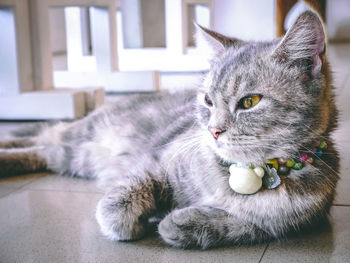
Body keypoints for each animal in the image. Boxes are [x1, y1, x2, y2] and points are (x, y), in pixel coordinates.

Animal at [0, 10, 340, 250]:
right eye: (207, 100)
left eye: (250, 102)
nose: (213, 131)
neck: (243, 171)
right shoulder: (158, 160)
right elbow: (124, 193)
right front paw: (123, 220)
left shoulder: (294, 223)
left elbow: (242, 224)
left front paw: (181, 223)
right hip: (81, 137)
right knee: (43, 136)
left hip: (72, 156)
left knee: (43, 151)